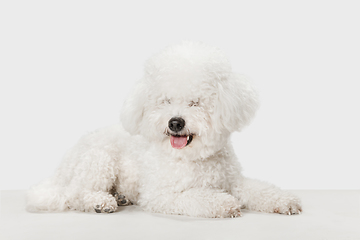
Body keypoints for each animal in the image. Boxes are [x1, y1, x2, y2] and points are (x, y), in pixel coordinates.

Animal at [27, 41, 300, 218]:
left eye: (195, 102)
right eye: (166, 101)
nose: (175, 122)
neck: (193, 159)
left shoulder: (233, 181)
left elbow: (258, 190)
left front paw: (284, 200)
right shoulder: (161, 195)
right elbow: (196, 197)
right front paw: (224, 203)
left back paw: (120, 197)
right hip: (99, 160)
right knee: (74, 194)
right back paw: (100, 202)